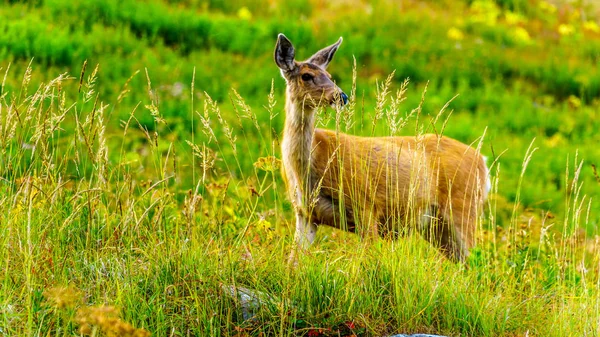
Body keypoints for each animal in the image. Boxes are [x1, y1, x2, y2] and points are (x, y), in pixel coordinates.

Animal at [276, 32, 492, 262]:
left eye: (329, 75)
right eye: (306, 76)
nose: (341, 96)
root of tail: (483, 162)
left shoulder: (366, 205)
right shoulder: (305, 214)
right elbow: (293, 262)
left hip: (463, 207)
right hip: (437, 226)